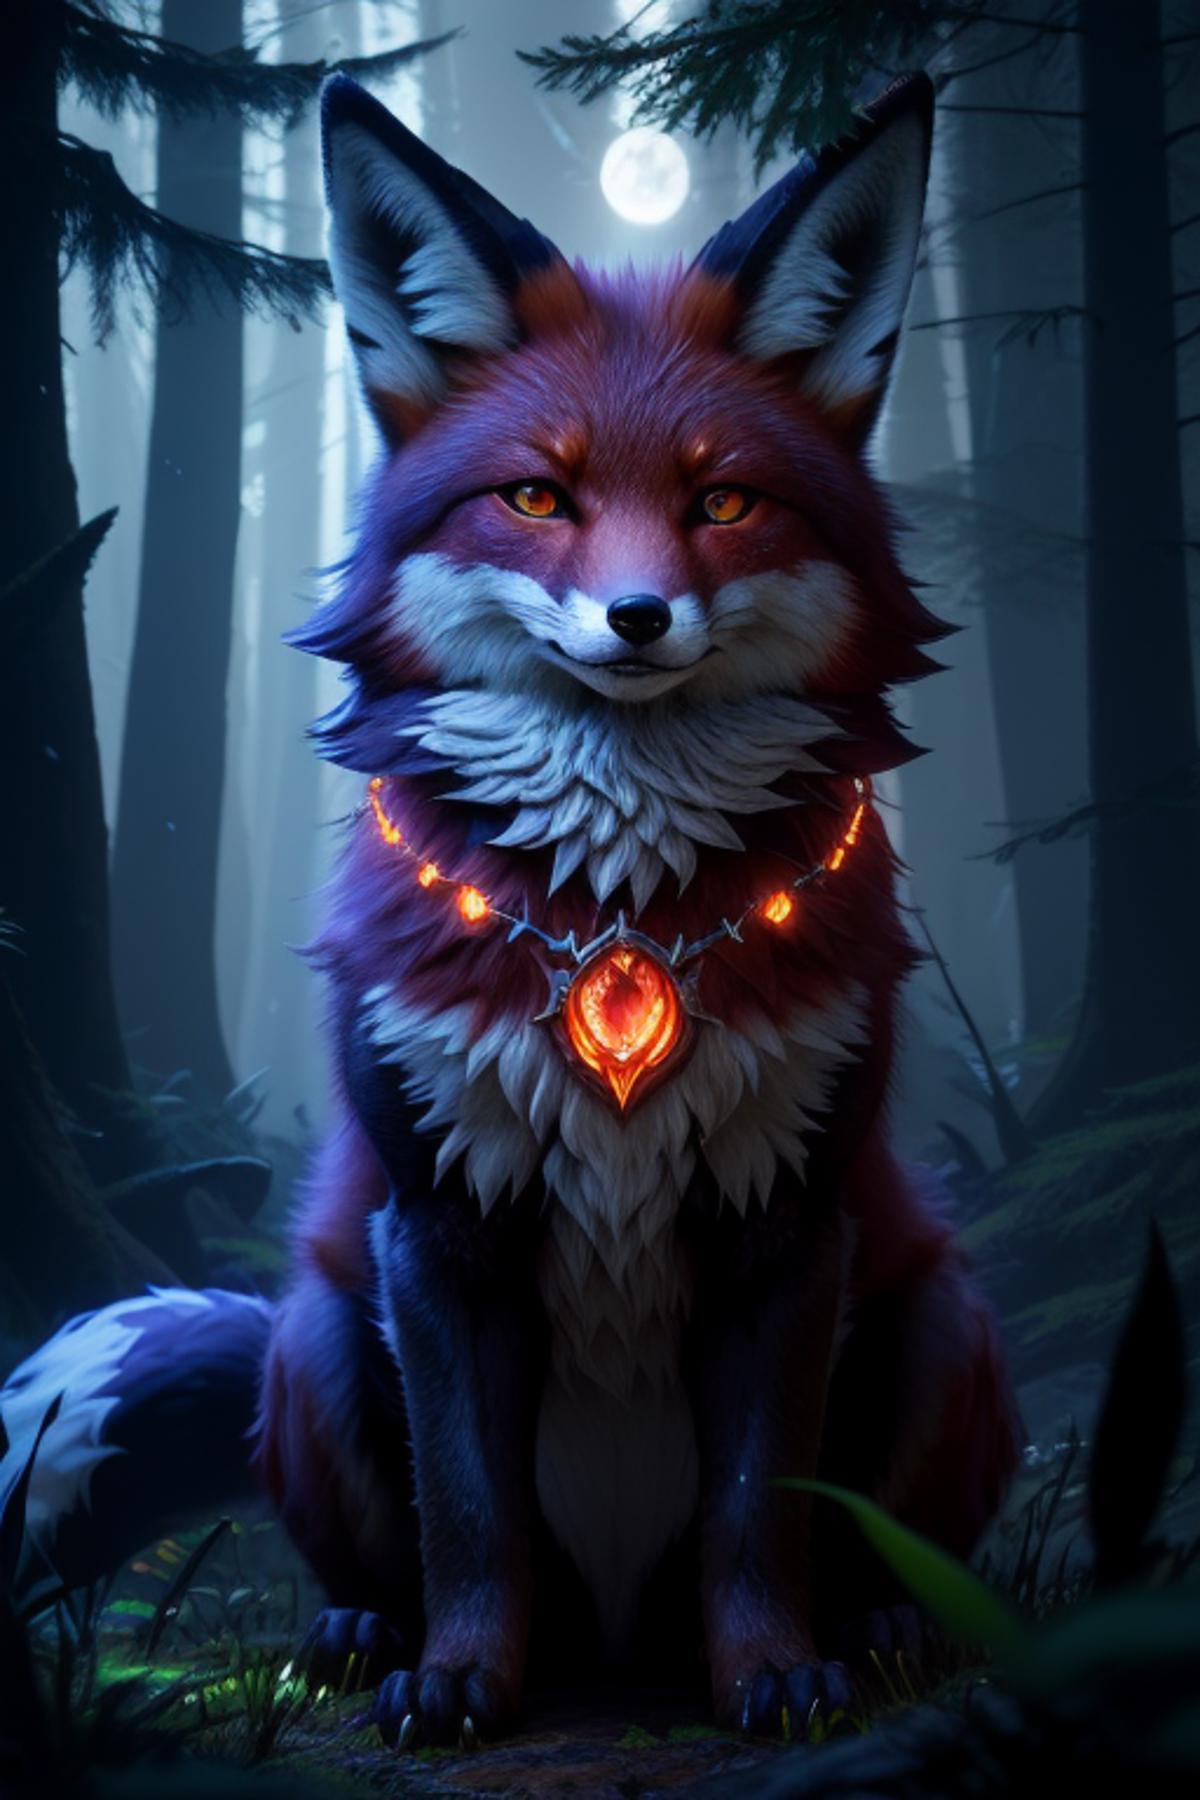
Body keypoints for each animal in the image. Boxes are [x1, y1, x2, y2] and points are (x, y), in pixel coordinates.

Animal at [1, 71, 1019, 1749]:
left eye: (722, 501)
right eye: (537, 496)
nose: (637, 617)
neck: (618, 909)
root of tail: (616, 1641)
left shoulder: (789, 1221)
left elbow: (761, 1513)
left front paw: (776, 1678)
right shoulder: (437, 1223)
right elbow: (472, 1518)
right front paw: (462, 1683)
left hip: (942, 1319)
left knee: (875, 1545)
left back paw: (880, 1634)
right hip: (318, 1331)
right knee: (383, 1545)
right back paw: (360, 1634)